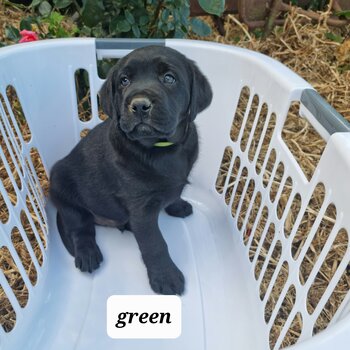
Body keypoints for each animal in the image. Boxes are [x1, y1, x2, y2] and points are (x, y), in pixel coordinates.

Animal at [49, 44, 212, 296]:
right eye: (124, 81)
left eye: (169, 78)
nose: (139, 105)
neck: (160, 148)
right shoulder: (141, 210)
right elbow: (155, 244)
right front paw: (166, 277)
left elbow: (175, 193)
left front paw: (178, 205)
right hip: (62, 186)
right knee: (80, 227)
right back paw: (87, 254)